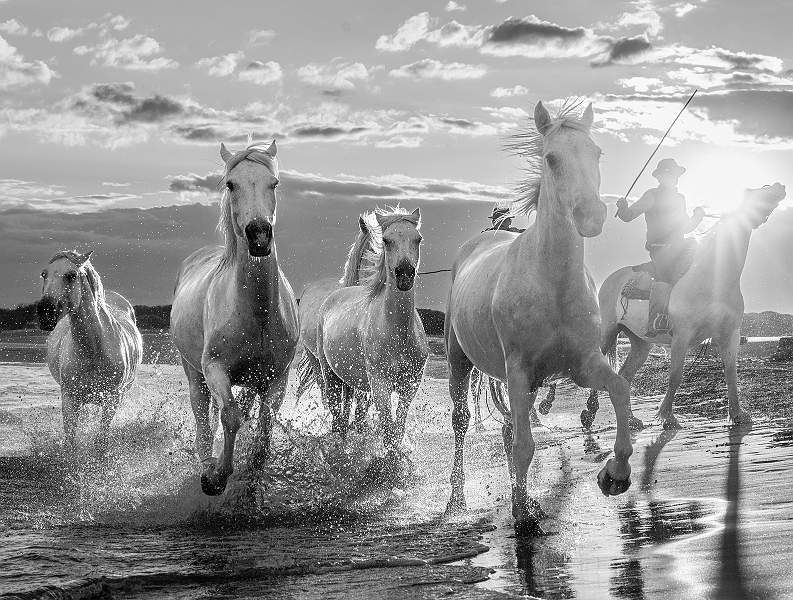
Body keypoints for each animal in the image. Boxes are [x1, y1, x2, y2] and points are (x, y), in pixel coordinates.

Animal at [37, 250, 143, 456]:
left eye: (71, 275)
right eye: (44, 274)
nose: (45, 313)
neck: (93, 352)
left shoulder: (112, 399)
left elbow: (100, 441)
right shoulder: (70, 398)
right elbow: (71, 441)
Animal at [170, 140, 299, 496]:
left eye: (274, 183)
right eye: (231, 184)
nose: (259, 235)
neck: (257, 313)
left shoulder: (276, 378)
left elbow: (263, 427)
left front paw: (253, 478)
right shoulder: (215, 368)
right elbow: (229, 416)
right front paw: (217, 476)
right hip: (194, 371)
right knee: (202, 414)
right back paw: (206, 463)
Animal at [297, 207, 428, 449]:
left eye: (418, 239)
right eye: (386, 240)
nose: (405, 274)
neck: (398, 332)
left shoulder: (409, 385)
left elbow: (397, 429)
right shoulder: (379, 385)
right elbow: (387, 430)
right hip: (327, 372)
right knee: (336, 414)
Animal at [444, 100, 636, 534]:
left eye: (597, 153)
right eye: (551, 158)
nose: (590, 215)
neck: (553, 283)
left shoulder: (582, 365)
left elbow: (618, 388)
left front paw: (614, 474)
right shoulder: (519, 371)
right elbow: (525, 446)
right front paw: (522, 516)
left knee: (507, 428)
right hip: (460, 361)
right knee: (464, 424)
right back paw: (457, 501)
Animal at [584, 183, 786, 430]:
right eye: (755, 191)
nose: (778, 186)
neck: (712, 277)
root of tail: (612, 279)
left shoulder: (730, 333)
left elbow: (731, 373)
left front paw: (738, 414)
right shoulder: (682, 335)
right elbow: (675, 376)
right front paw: (667, 416)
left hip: (640, 343)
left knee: (624, 375)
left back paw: (631, 420)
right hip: (608, 331)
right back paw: (589, 414)